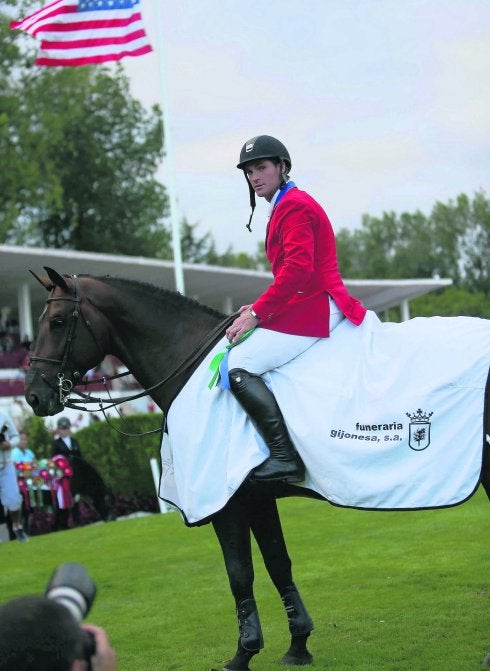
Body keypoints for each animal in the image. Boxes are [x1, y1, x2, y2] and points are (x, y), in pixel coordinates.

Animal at [23, 270, 490, 671]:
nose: (33, 395)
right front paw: (298, 645)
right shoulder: (257, 497)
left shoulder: (227, 502)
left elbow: (239, 573)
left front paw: (243, 653)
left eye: (59, 322)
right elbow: (279, 564)